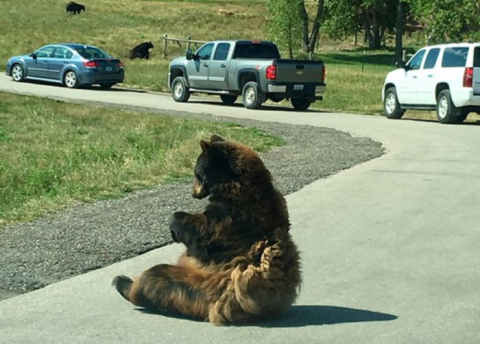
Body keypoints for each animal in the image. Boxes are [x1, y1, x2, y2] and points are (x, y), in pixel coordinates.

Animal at [112, 135, 300, 326]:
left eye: (196, 172)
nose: (193, 193)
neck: (236, 185)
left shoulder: (233, 217)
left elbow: (202, 236)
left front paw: (176, 224)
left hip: (199, 288)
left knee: (155, 278)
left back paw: (123, 283)